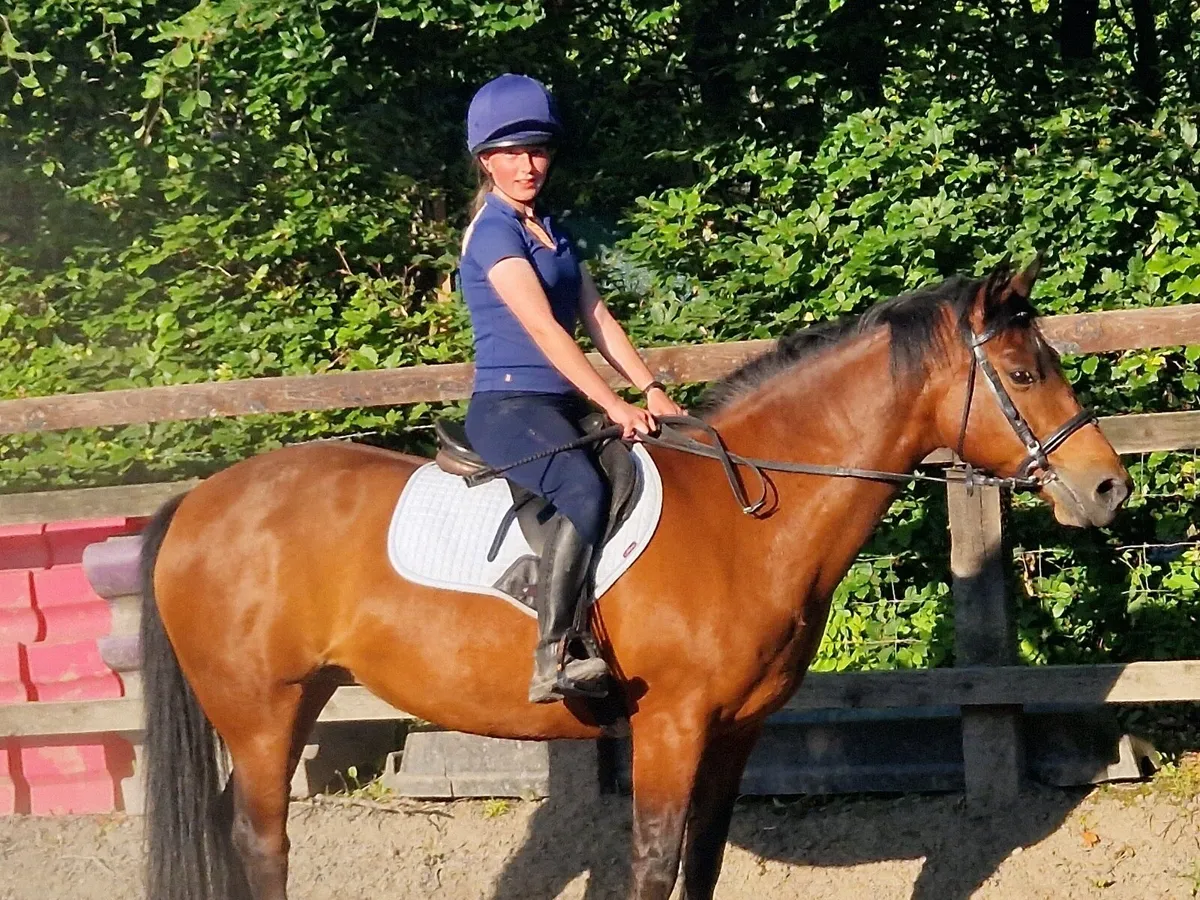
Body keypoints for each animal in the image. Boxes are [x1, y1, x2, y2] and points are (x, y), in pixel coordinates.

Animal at [139, 259, 1130, 900]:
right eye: (1022, 372)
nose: (1108, 488)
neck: (744, 519)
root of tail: (199, 500)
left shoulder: (734, 732)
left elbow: (703, 866)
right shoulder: (670, 728)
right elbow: (655, 866)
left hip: (290, 702)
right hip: (260, 709)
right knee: (261, 843)